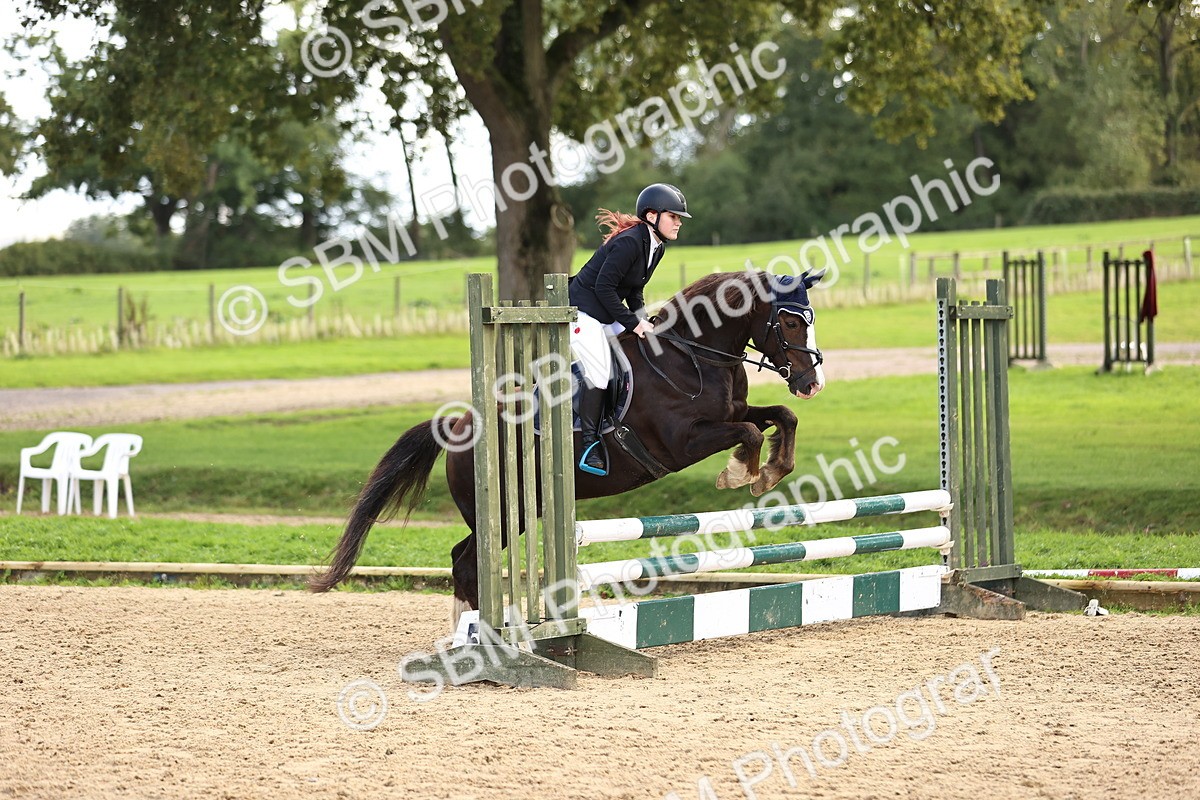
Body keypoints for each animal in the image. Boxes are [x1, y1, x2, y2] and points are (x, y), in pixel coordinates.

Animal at [310, 268, 827, 619]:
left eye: (810, 320)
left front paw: (771, 471)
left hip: (521, 512)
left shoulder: (732, 411)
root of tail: (457, 425)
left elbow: (780, 418)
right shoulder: (685, 440)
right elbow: (750, 433)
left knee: (462, 558)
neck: (692, 355)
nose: (811, 383)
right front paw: (741, 473)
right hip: (505, 513)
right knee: (468, 563)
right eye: (790, 324)